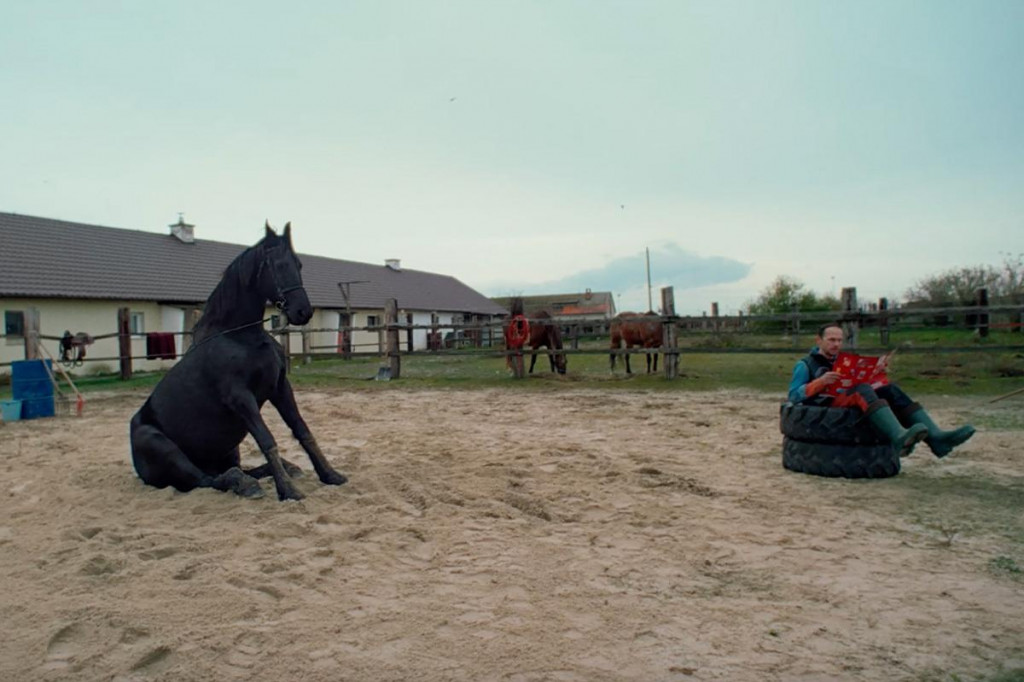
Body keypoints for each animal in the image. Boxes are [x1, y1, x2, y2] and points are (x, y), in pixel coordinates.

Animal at [130, 223, 348, 499]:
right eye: (278, 265)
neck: (241, 336)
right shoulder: (240, 398)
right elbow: (267, 439)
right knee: (206, 480)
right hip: (163, 446)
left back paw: (283, 469)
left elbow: (302, 430)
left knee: (232, 471)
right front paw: (288, 491)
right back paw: (243, 484)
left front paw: (330, 475)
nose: (303, 311)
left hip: (228, 450)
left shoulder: (280, 388)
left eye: (298, 264)